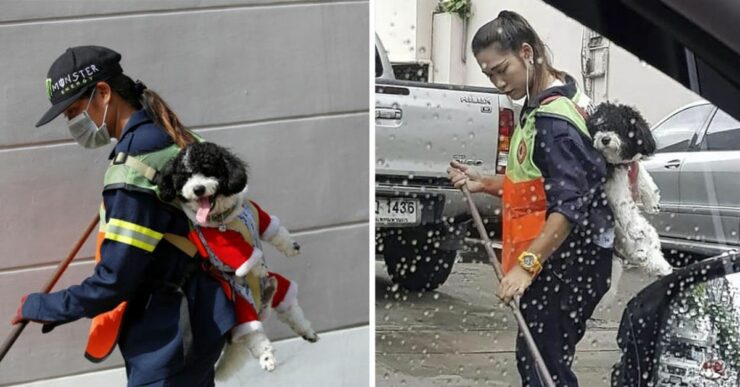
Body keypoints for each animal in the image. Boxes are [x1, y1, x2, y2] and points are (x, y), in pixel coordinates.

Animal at [156, 142, 318, 378]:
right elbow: (242, 253)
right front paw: (257, 266)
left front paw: (291, 247)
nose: (198, 189)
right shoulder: (219, 241)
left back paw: (306, 330)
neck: (225, 216)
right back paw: (268, 358)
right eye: (185, 177)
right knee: (254, 335)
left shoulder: (257, 214)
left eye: (207, 169)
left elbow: (274, 231)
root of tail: (261, 306)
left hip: (280, 288)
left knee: (288, 305)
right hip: (242, 308)